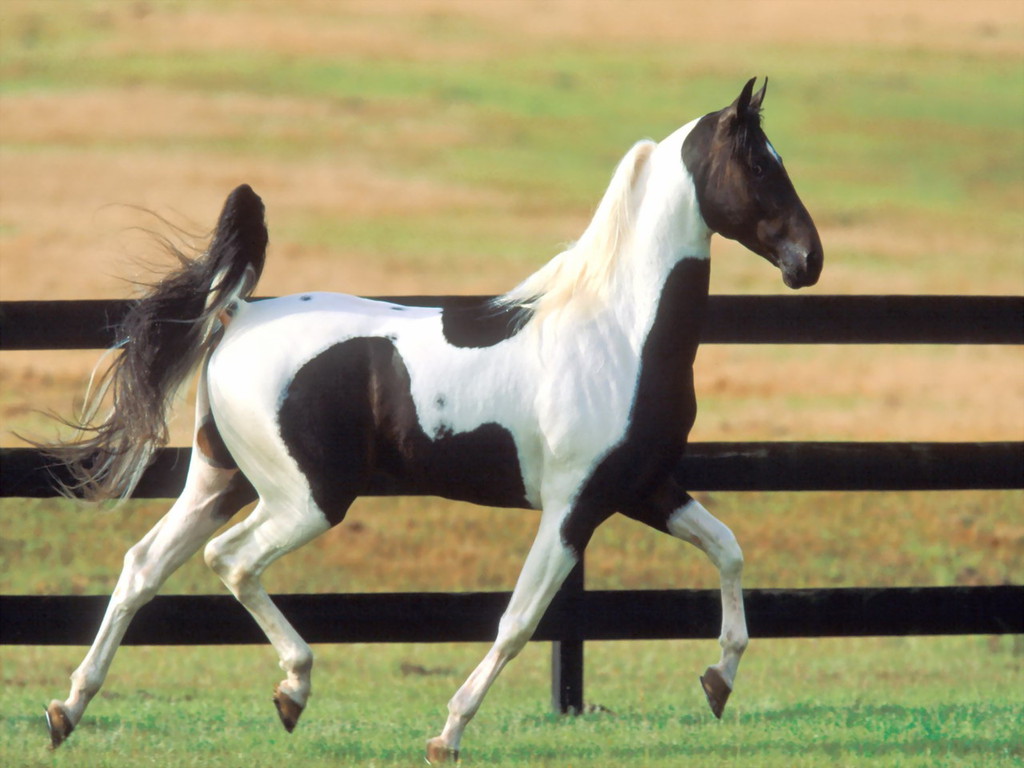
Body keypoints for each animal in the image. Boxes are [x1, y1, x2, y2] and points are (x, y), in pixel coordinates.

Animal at [41, 77, 822, 762]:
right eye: (759, 163)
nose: (808, 261)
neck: (620, 332)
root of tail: (236, 314)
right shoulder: (574, 506)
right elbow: (518, 621)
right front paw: (447, 735)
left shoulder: (644, 488)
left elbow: (728, 550)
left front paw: (718, 682)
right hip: (306, 499)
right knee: (229, 560)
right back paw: (292, 689)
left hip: (220, 480)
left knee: (144, 565)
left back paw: (66, 710)